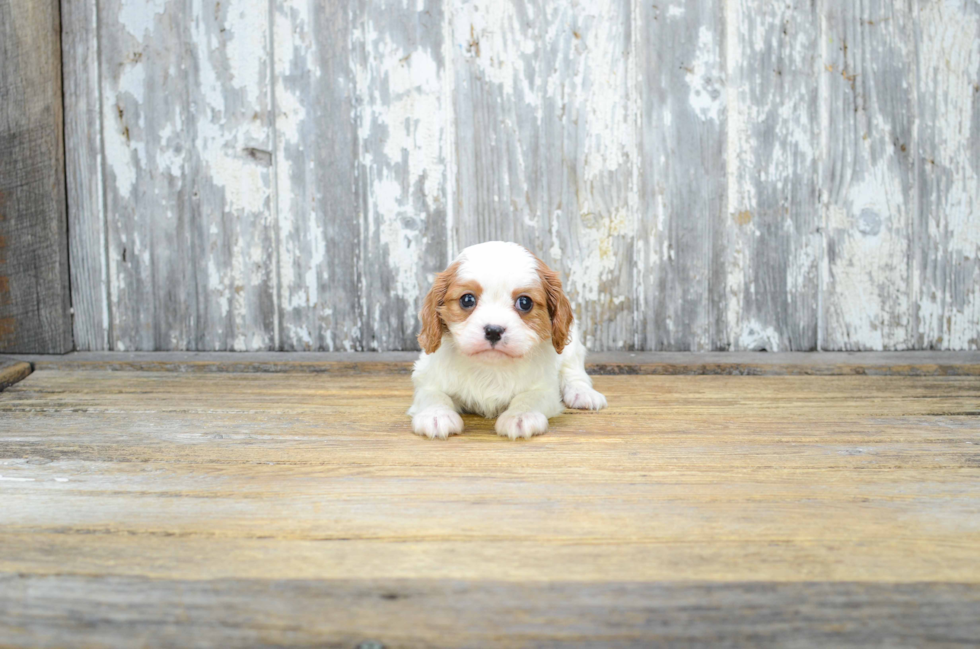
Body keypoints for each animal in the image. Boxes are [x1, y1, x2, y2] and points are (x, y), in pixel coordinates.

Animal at [406, 239, 604, 440]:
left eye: (525, 302)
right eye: (467, 299)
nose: (493, 331)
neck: (491, 368)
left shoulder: (545, 388)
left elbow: (528, 397)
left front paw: (520, 416)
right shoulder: (426, 375)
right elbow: (433, 395)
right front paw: (436, 415)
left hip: (572, 347)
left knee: (574, 372)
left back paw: (583, 393)